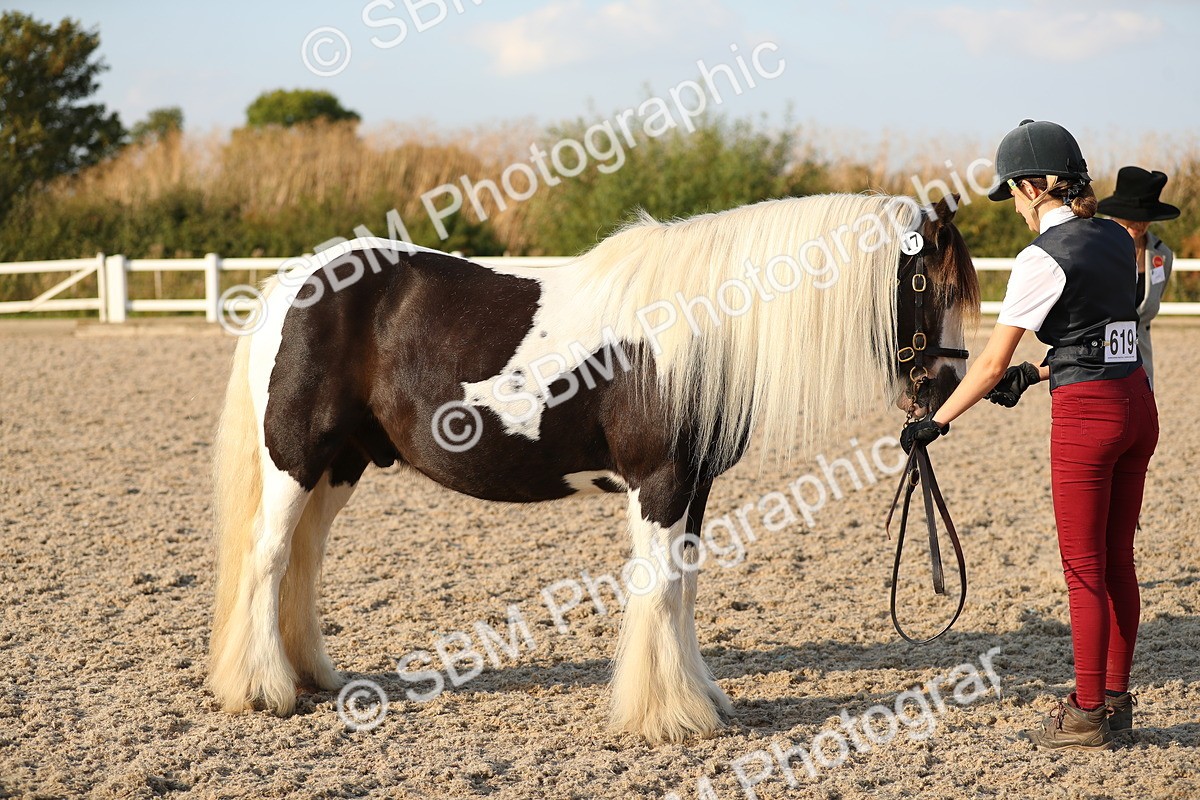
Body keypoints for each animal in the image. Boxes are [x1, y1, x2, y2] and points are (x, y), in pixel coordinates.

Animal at [209, 192, 979, 744]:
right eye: (929, 284)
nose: (946, 389)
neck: (700, 329)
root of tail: (294, 281)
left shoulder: (695, 487)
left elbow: (685, 589)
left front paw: (700, 698)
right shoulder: (659, 484)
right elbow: (660, 590)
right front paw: (667, 717)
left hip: (341, 466)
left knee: (303, 560)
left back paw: (312, 676)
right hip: (295, 460)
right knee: (268, 555)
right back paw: (262, 690)